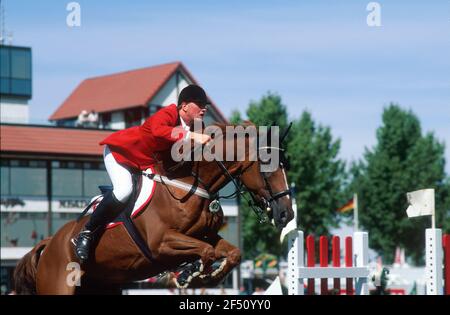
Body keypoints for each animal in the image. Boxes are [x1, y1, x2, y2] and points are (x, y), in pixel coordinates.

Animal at [14, 122, 294, 296]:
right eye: (267, 168)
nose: (286, 214)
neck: (191, 186)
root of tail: (49, 243)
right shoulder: (161, 243)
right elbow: (207, 252)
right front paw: (190, 274)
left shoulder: (205, 235)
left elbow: (231, 253)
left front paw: (205, 277)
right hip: (58, 285)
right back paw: (82, 243)